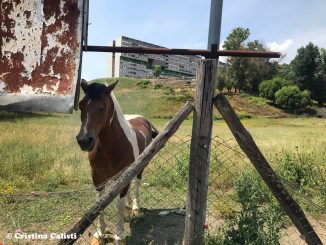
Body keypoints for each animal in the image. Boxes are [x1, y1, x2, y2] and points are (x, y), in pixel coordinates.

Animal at [76, 80, 158, 243]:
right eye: (81, 105)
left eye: (102, 107)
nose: (84, 140)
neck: (112, 146)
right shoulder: (97, 179)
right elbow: (99, 205)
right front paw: (100, 233)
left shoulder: (124, 175)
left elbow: (119, 205)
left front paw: (119, 235)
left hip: (140, 168)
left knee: (137, 183)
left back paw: (135, 207)